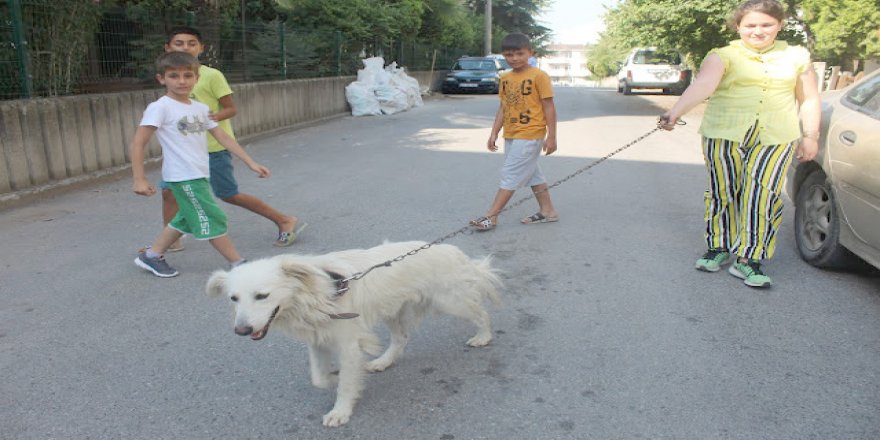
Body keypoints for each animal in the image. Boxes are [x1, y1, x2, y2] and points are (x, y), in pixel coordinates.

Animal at [202, 241, 498, 426]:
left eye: (262, 296)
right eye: (233, 299)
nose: (241, 330)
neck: (317, 294)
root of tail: (451, 249)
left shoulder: (348, 344)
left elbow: (346, 382)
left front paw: (340, 409)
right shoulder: (318, 341)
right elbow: (319, 378)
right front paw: (334, 378)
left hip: (451, 301)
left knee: (482, 313)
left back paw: (483, 336)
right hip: (393, 310)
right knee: (401, 339)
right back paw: (382, 362)